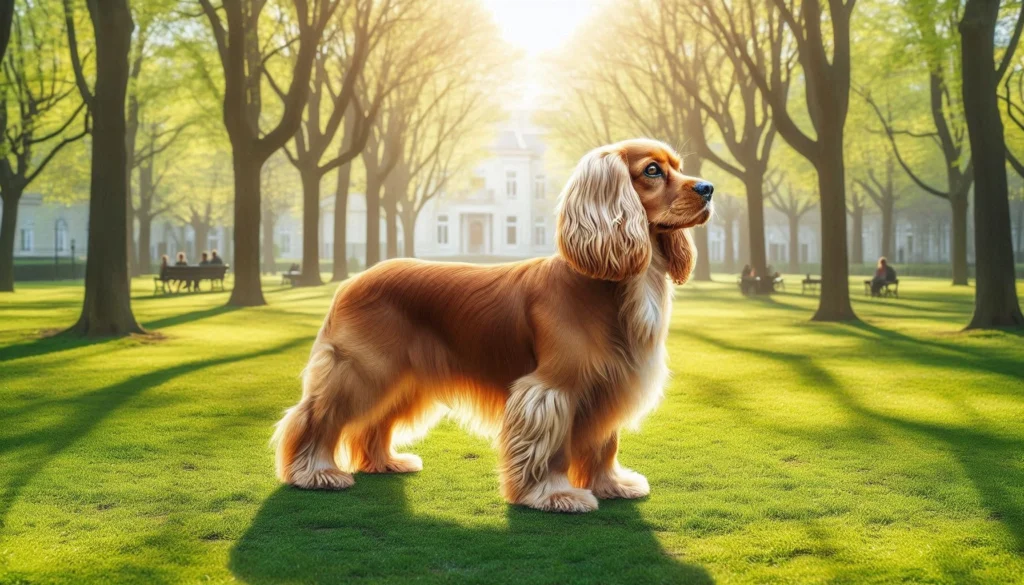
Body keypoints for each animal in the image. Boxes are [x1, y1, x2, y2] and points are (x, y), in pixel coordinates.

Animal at [276, 137, 716, 512]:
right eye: (652, 170)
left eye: (679, 167)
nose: (709, 188)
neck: (612, 285)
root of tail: (351, 280)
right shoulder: (552, 388)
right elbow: (553, 449)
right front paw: (555, 495)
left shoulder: (610, 384)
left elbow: (604, 443)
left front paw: (611, 485)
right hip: (362, 370)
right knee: (314, 417)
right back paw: (315, 473)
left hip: (403, 379)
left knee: (372, 423)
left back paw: (385, 462)